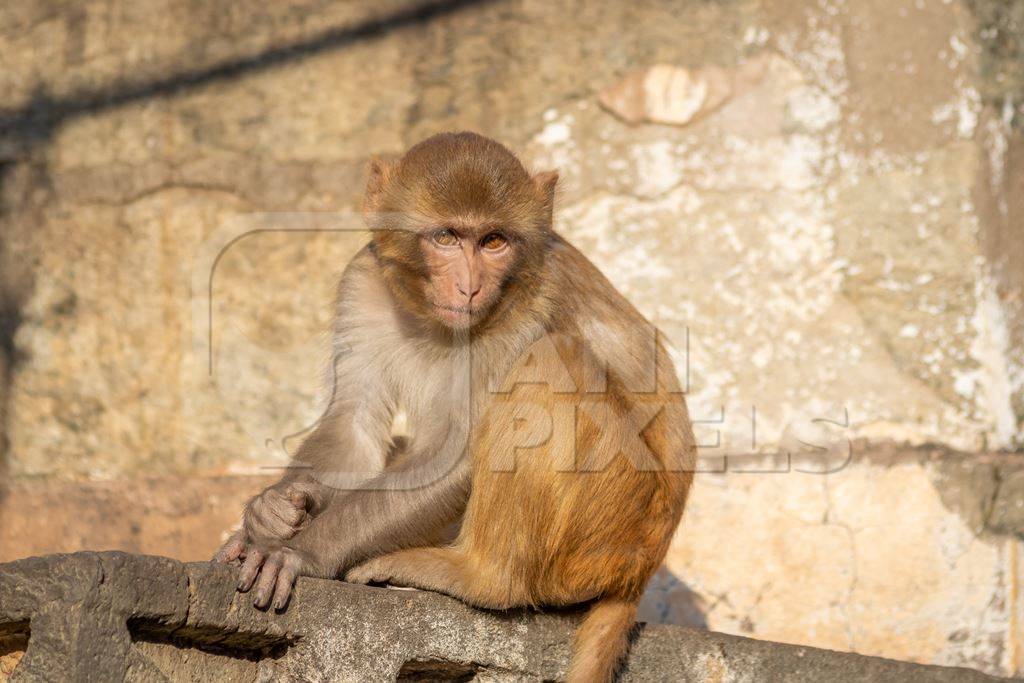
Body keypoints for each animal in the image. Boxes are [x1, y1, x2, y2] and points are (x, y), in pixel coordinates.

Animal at [215, 133, 696, 683]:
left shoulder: (529, 305)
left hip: (611, 528)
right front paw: (272, 512)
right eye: (446, 237)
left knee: (550, 362)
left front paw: (300, 549)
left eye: (493, 241)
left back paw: (479, 576)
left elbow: (460, 454)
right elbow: (354, 428)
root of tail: (639, 575)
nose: (469, 287)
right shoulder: (363, 279)